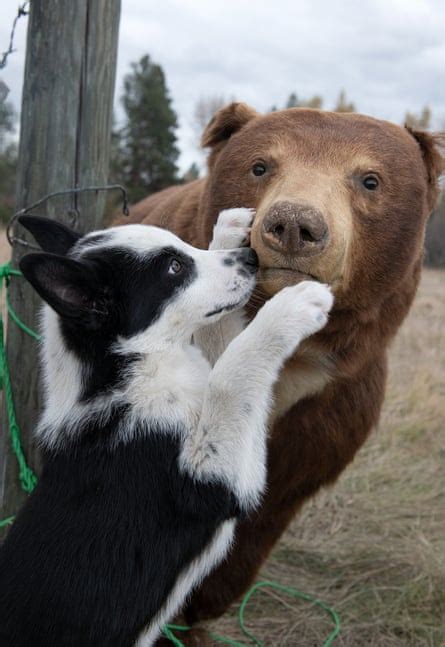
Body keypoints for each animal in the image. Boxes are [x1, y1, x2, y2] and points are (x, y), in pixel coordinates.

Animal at [0, 210, 332, 644]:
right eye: (174, 269)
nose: (250, 258)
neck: (126, 372)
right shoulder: (215, 480)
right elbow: (230, 375)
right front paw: (292, 306)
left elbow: (221, 346)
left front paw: (226, 231)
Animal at [116, 104, 442, 640]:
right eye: (260, 166)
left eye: (370, 179)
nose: (294, 225)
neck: (301, 358)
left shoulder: (331, 404)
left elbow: (267, 508)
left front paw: (201, 611)